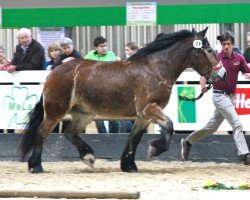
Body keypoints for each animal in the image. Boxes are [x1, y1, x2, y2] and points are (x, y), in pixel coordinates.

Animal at [21, 27, 221, 173]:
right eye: (209, 50)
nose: (219, 75)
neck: (157, 69)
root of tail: (54, 71)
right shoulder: (149, 109)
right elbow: (169, 126)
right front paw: (154, 149)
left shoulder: (143, 116)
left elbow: (135, 138)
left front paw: (129, 165)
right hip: (55, 112)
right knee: (42, 132)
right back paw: (35, 166)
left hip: (85, 114)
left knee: (70, 132)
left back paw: (88, 157)